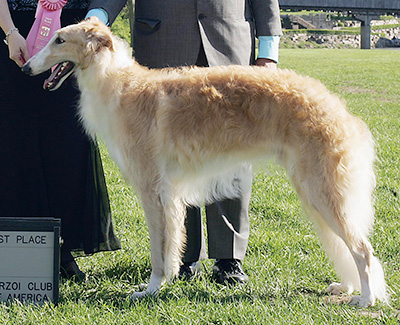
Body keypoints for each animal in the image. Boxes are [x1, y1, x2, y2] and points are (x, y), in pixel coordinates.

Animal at [22, 17, 388, 306]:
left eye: (59, 39)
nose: (25, 66)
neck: (119, 84)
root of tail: (339, 110)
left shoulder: (152, 190)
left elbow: (159, 250)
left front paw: (150, 289)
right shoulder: (171, 195)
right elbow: (174, 245)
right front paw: (166, 281)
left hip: (322, 190)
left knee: (364, 250)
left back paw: (366, 300)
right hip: (316, 191)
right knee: (348, 247)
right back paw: (348, 288)